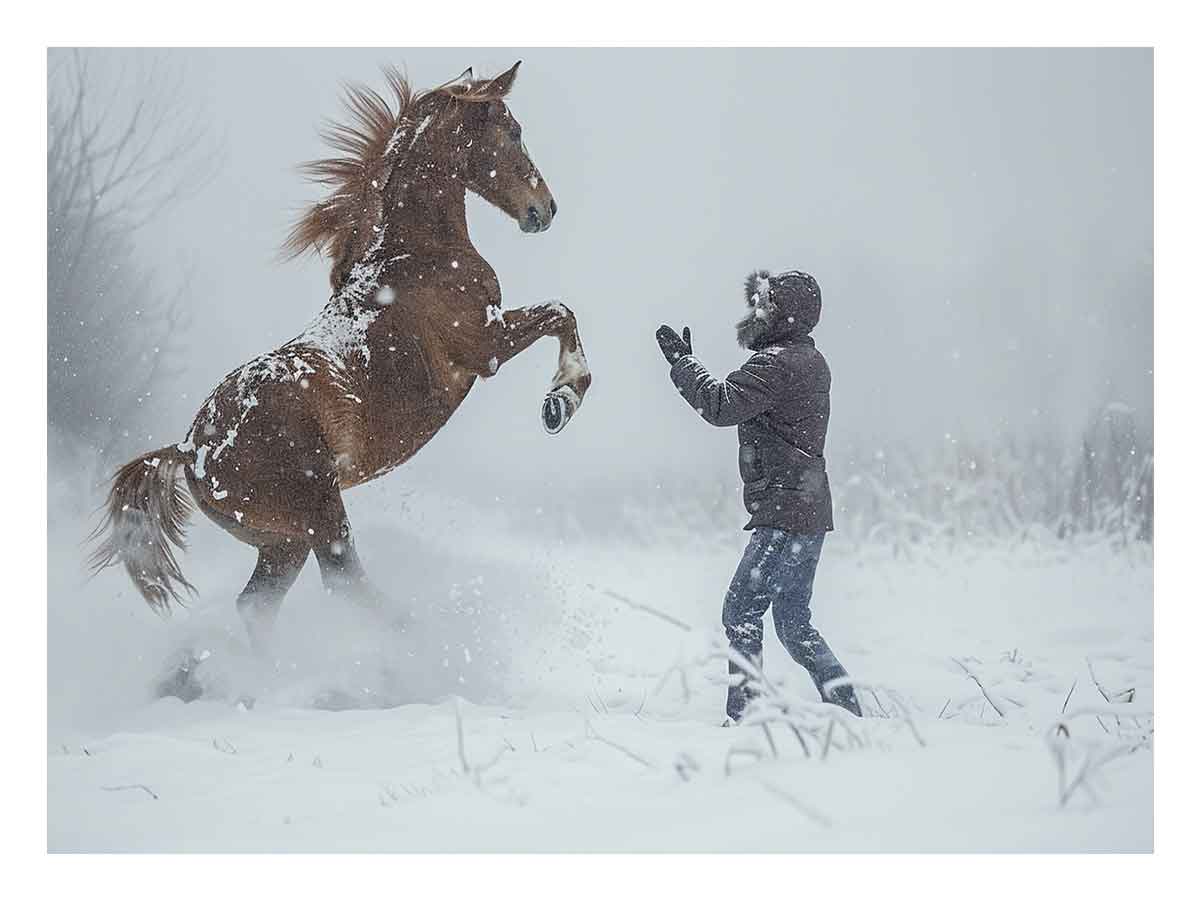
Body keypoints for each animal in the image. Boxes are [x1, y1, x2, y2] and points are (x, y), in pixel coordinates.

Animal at [89, 62, 592, 650]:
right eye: (513, 132)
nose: (545, 209)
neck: (419, 256)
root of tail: (189, 450)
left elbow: (561, 315)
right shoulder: (486, 347)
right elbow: (561, 313)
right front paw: (559, 403)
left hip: (282, 540)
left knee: (258, 605)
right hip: (320, 513)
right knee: (344, 581)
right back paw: (416, 643)